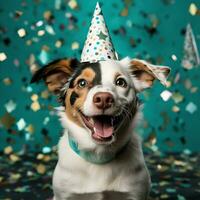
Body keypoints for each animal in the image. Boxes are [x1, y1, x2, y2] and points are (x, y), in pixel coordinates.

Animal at [31, 2, 170, 199]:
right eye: (82, 83)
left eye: (120, 82)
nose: (103, 99)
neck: (99, 157)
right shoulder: (64, 195)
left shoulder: (136, 193)